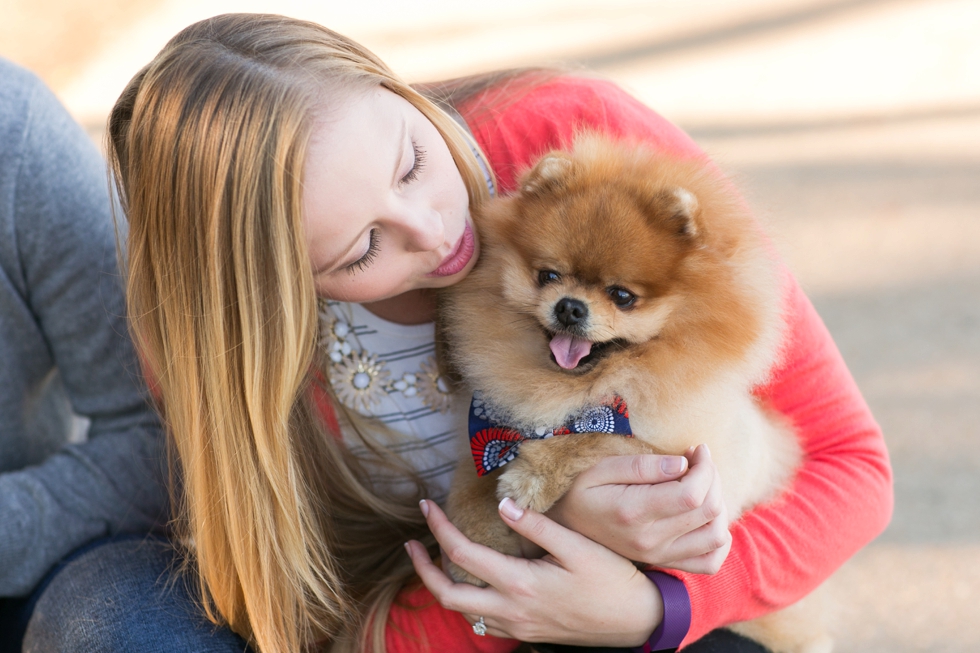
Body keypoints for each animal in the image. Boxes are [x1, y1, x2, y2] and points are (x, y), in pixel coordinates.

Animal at [440, 134, 832, 652]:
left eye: (622, 296)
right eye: (548, 276)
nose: (570, 306)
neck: (589, 384)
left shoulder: (682, 457)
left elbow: (602, 436)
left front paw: (532, 477)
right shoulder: (488, 433)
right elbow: (472, 483)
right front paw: (469, 545)